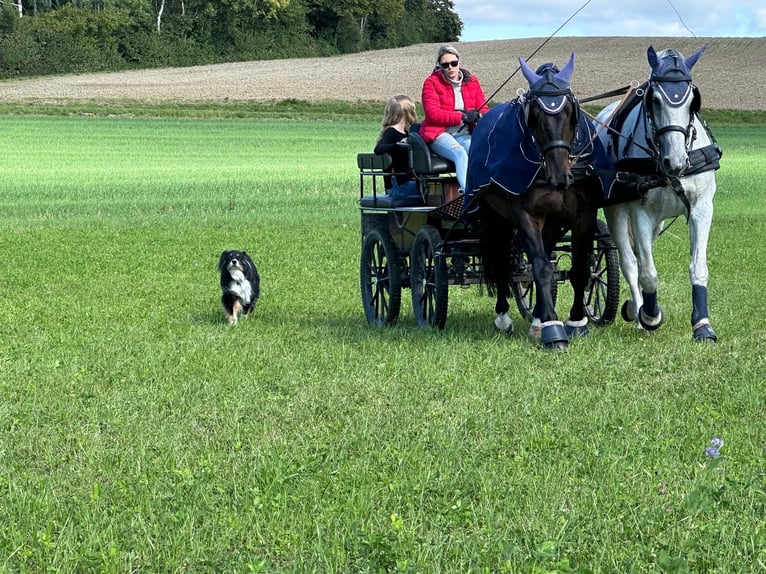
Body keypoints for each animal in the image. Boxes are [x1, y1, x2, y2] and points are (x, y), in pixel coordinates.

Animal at [464, 55, 608, 352]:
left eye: (570, 113)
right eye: (536, 116)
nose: (559, 176)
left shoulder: (584, 215)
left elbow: (579, 268)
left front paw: (576, 322)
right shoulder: (526, 216)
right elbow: (540, 268)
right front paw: (553, 328)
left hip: (551, 221)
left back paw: (536, 318)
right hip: (496, 217)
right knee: (502, 262)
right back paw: (504, 317)